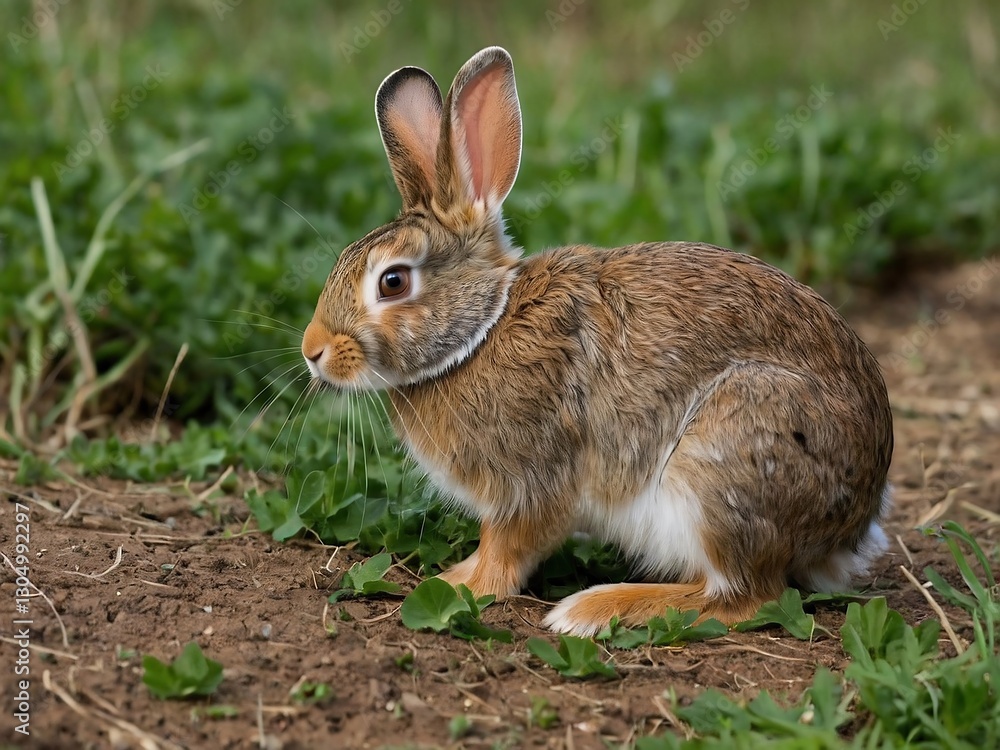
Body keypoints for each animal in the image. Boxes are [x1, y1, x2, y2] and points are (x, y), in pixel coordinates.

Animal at [301, 47, 893, 636]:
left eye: (392, 281)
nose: (313, 352)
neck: (482, 331)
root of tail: (848, 529)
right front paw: (455, 574)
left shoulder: (531, 483)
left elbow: (508, 549)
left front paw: (462, 586)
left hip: (725, 466)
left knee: (745, 596)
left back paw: (592, 608)